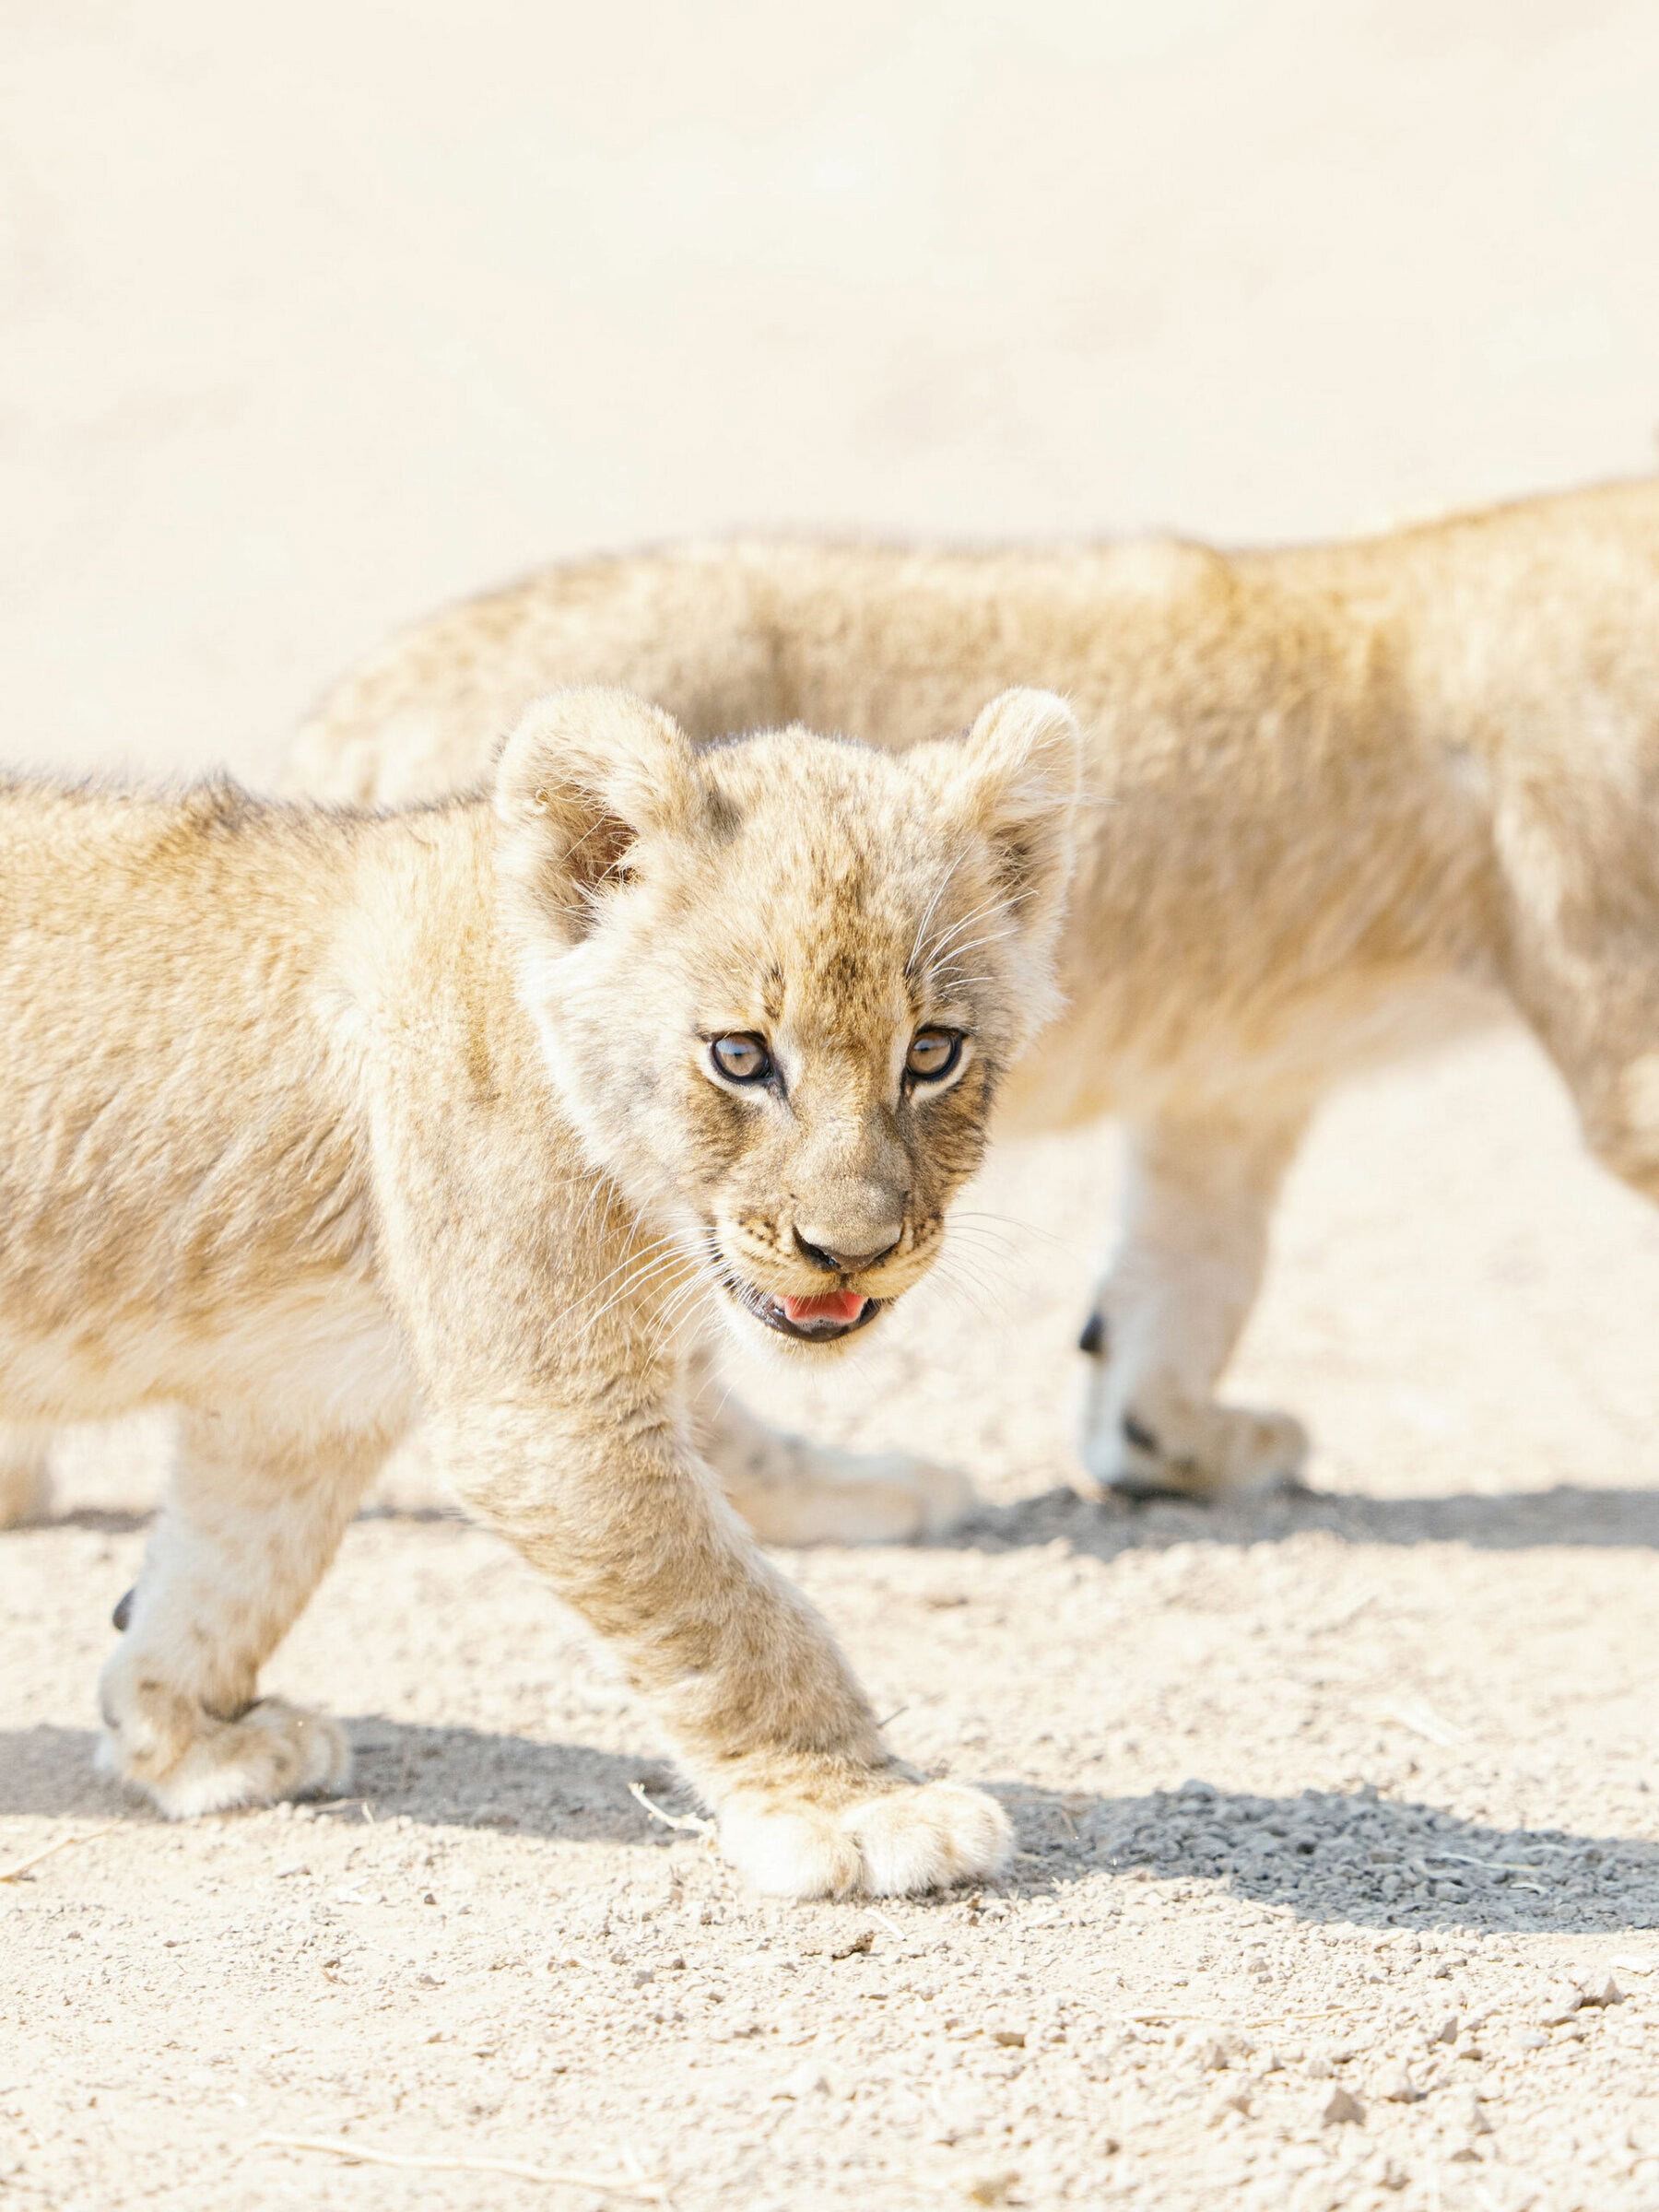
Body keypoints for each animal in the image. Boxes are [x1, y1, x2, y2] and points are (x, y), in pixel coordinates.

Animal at [0, 683, 1084, 1893]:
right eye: (742, 1057)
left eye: (933, 1053)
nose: (850, 1251)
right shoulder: (550, 1418)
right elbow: (734, 1613)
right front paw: (860, 1808)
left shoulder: (296, 1403)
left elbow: (231, 1569)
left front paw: (177, 1738)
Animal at [272, 475, 1659, 1507]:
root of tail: (351, 722)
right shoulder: (1624, 1044)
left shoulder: (1236, 1076)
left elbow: (1192, 1265)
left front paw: (1163, 1441)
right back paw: (859, 1492)